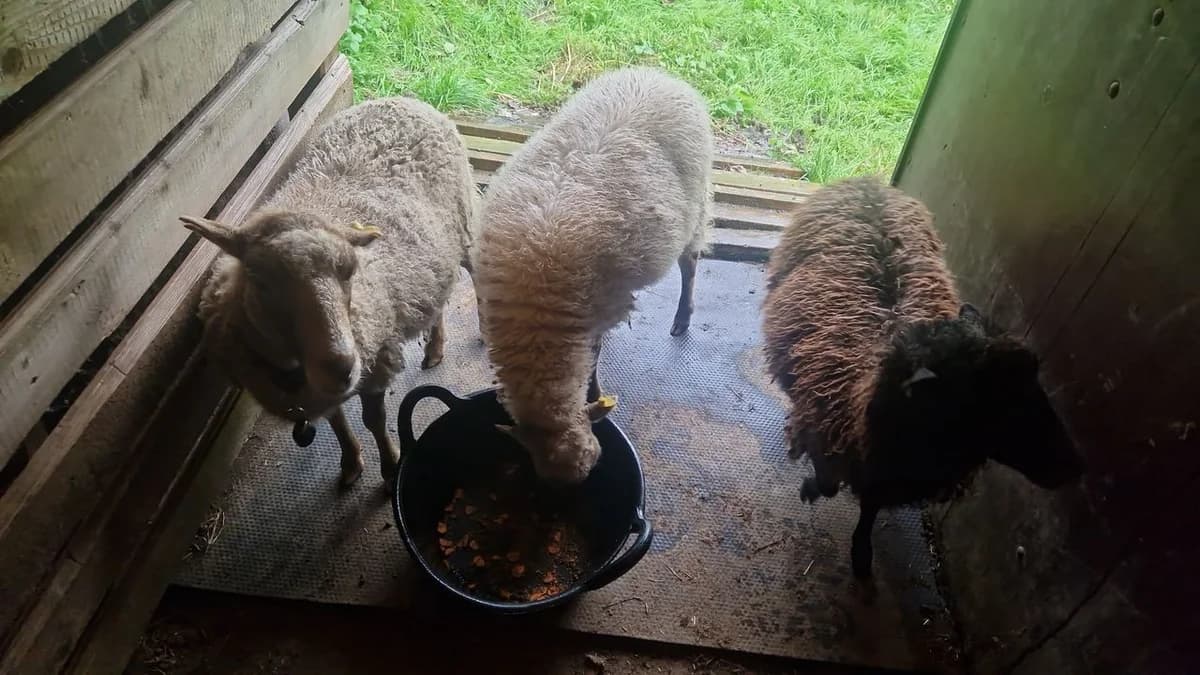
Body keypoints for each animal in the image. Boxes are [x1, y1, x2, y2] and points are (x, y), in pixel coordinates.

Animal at [183, 97, 476, 488]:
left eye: (350, 271)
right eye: (259, 279)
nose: (342, 367)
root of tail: (400, 98)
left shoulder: (376, 360)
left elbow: (374, 421)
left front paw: (390, 467)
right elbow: (336, 421)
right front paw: (351, 461)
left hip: (465, 225)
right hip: (435, 252)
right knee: (438, 296)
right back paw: (434, 347)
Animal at [474, 67, 713, 484]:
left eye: (589, 463)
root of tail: (660, 74)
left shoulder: (600, 308)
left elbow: (597, 355)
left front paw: (594, 389)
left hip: (696, 205)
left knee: (690, 265)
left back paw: (683, 317)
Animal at [761, 177, 1084, 578]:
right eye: (988, 400)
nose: (1074, 466)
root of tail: (867, 180)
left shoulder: (882, 473)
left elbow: (869, 508)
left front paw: (862, 552)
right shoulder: (834, 435)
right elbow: (829, 482)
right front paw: (811, 487)